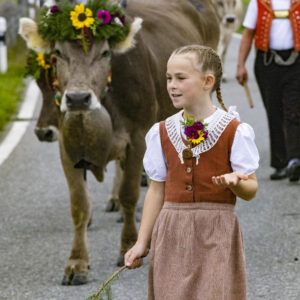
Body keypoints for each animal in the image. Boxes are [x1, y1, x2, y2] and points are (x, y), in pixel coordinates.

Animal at [20, 0, 218, 284]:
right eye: (57, 51)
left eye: (105, 53)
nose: (77, 98)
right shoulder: (67, 148)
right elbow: (79, 204)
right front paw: (76, 263)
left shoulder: (138, 138)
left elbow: (129, 194)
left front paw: (130, 245)